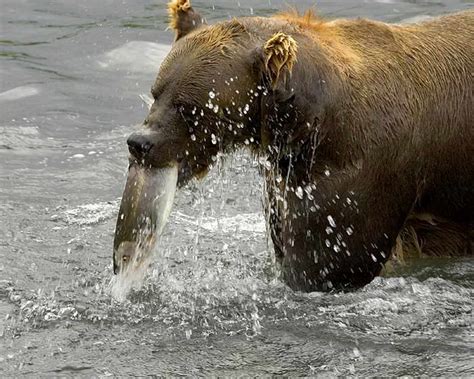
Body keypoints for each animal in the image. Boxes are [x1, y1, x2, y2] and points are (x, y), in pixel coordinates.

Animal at [113, 0, 472, 294]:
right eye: (157, 92)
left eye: (189, 108)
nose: (140, 143)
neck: (309, 127)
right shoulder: (287, 180)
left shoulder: (359, 172)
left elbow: (327, 262)